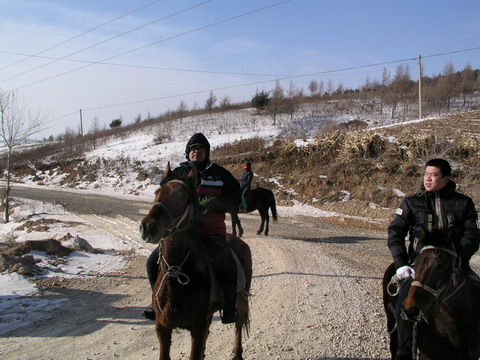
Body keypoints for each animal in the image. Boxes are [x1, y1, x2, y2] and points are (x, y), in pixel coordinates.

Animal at [141, 164, 253, 360]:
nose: (148, 227)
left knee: (239, 323)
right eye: (157, 192)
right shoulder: (162, 327)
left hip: (241, 297)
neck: (178, 271)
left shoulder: (197, 327)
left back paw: (237, 352)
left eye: (182, 196)